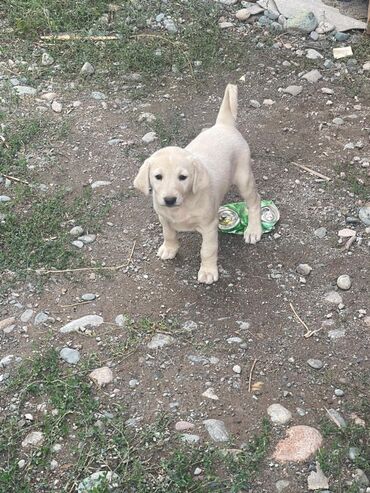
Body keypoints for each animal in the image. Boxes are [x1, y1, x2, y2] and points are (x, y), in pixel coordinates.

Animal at [134, 84, 262, 284]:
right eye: (158, 176)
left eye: (183, 177)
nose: (169, 200)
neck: (182, 206)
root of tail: (223, 125)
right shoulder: (164, 218)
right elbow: (168, 233)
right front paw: (169, 248)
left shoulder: (209, 227)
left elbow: (207, 250)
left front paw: (208, 271)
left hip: (244, 177)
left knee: (255, 201)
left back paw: (253, 230)